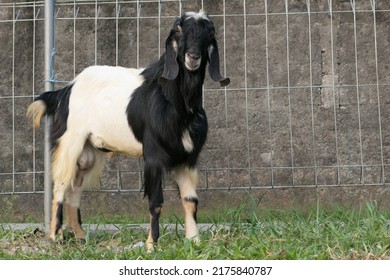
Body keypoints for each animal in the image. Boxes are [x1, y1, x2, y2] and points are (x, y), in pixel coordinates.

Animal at [27, 10, 229, 249]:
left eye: (210, 33)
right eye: (179, 31)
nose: (193, 56)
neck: (171, 100)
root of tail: (67, 89)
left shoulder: (187, 158)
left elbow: (191, 201)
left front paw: (194, 240)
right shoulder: (153, 156)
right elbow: (156, 202)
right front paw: (151, 245)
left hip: (89, 152)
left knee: (75, 189)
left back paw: (80, 235)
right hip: (71, 141)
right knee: (60, 184)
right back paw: (55, 236)